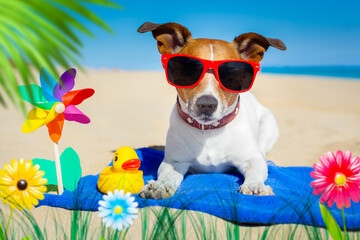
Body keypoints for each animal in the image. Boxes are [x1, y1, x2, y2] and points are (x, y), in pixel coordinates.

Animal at [136, 22, 286, 199]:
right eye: (188, 70)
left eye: (231, 73)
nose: (206, 104)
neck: (209, 132)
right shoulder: (174, 161)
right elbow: (167, 173)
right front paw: (161, 185)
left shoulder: (251, 159)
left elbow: (256, 169)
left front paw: (254, 185)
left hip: (268, 126)